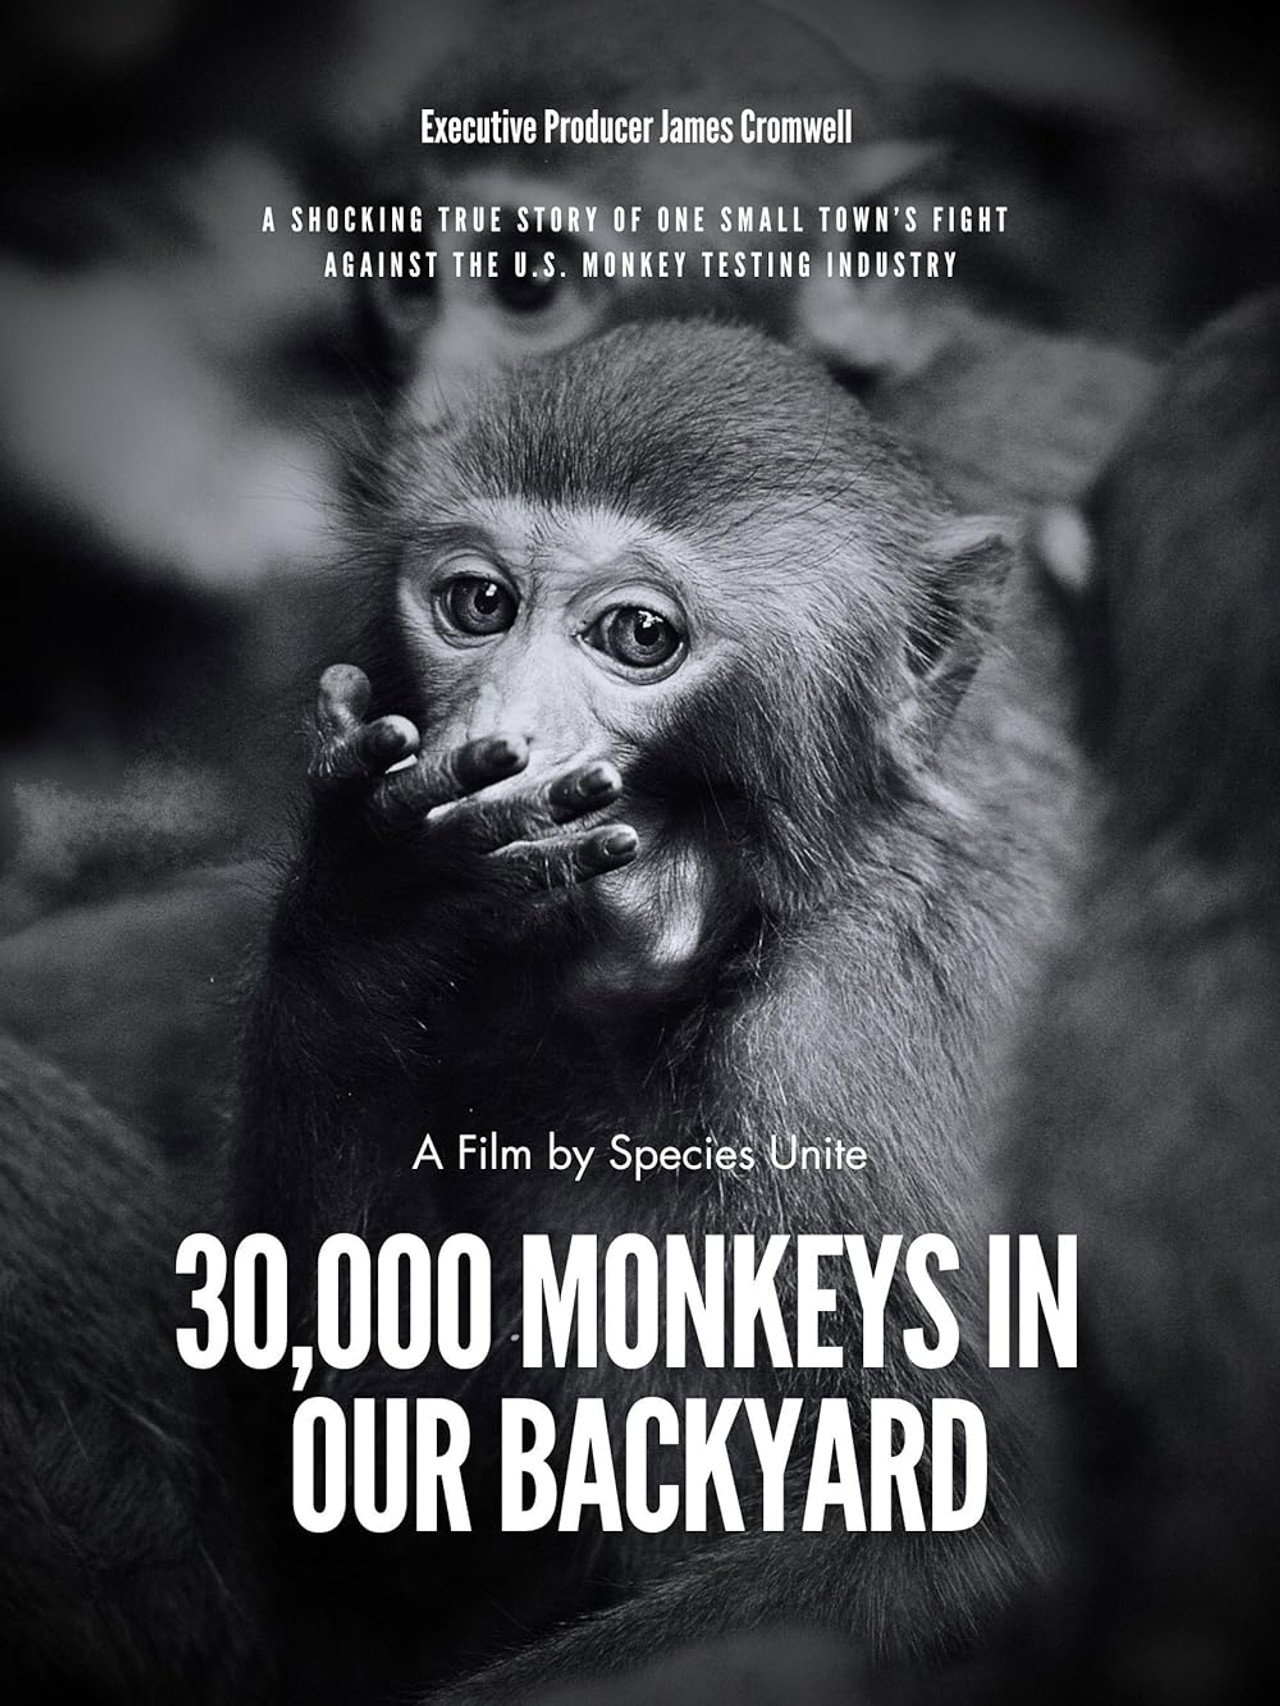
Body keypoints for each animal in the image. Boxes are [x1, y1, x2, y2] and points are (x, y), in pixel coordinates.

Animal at [222, 318, 1081, 1703]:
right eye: (477, 605)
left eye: (635, 635)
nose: (502, 738)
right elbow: (385, 1527)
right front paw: (374, 903)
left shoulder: (852, 1052)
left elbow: (970, 1548)